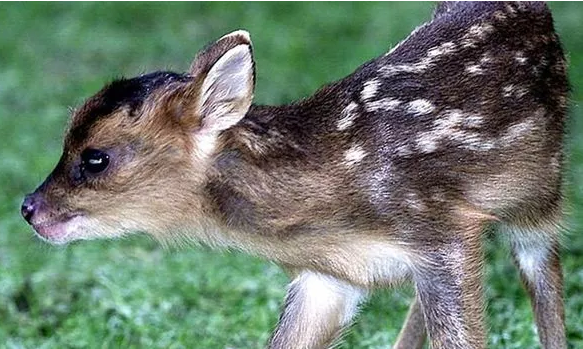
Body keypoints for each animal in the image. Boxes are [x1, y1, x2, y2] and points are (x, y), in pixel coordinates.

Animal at [22, 2, 572, 348]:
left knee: (543, 276)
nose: (28, 207)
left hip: (542, 192)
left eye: (95, 157)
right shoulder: (329, 276)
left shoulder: (440, 228)